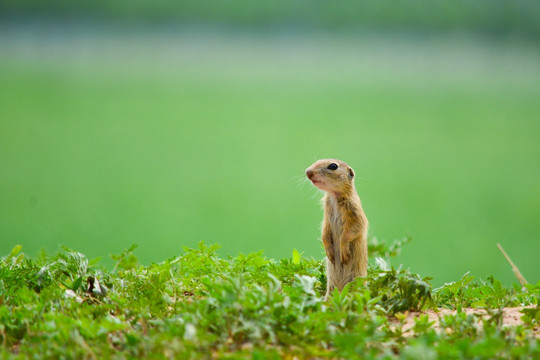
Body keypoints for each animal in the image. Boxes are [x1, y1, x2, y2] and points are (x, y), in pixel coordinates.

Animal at [306, 159, 370, 300]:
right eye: (317, 161)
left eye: (333, 166)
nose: (308, 172)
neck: (334, 196)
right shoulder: (326, 215)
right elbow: (325, 231)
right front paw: (329, 252)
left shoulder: (354, 210)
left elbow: (355, 228)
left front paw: (343, 251)